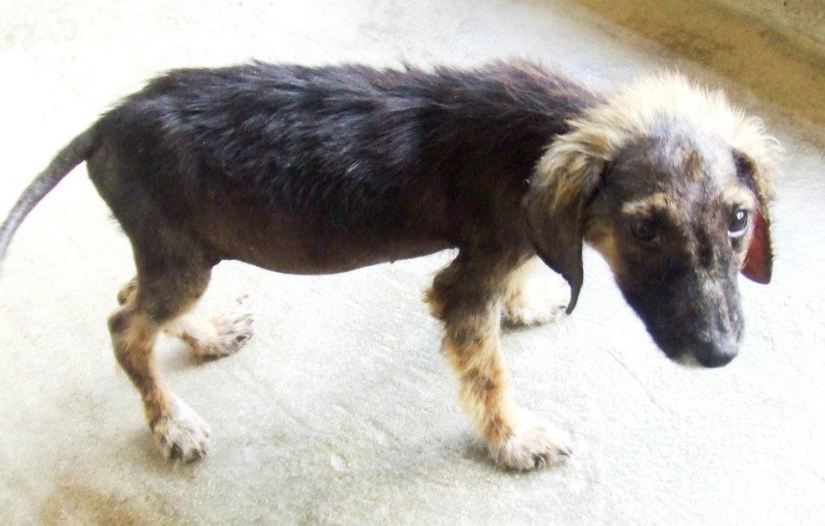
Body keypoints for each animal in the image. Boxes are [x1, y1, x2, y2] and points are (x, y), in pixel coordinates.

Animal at [0, 60, 776, 470]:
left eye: (739, 219)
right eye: (643, 227)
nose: (719, 353)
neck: (549, 130)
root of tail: (107, 124)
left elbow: (520, 286)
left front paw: (526, 304)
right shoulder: (464, 282)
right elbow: (489, 374)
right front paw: (513, 439)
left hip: (180, 253)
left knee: (133, 295)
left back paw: (206, 334)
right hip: (183, 255)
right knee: (125, 325)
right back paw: (171, 422)